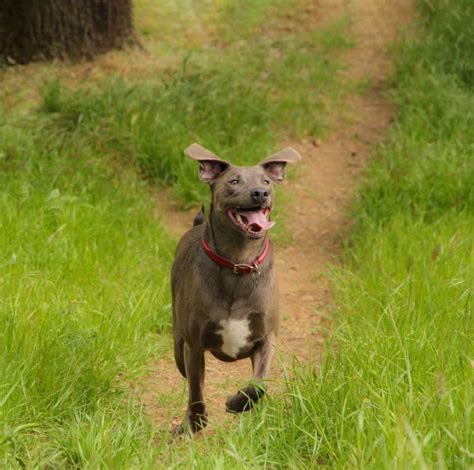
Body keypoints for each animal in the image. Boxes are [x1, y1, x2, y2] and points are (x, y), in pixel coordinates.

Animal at [172, 143, 302, 434]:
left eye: (266, 181)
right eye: (233, 182)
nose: (260, 193)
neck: (238, 264)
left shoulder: (266, 339)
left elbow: (258, 385)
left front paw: (237, 403)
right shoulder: (193, 345)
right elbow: (196, 393)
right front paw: (195, 422)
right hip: (178, 343)